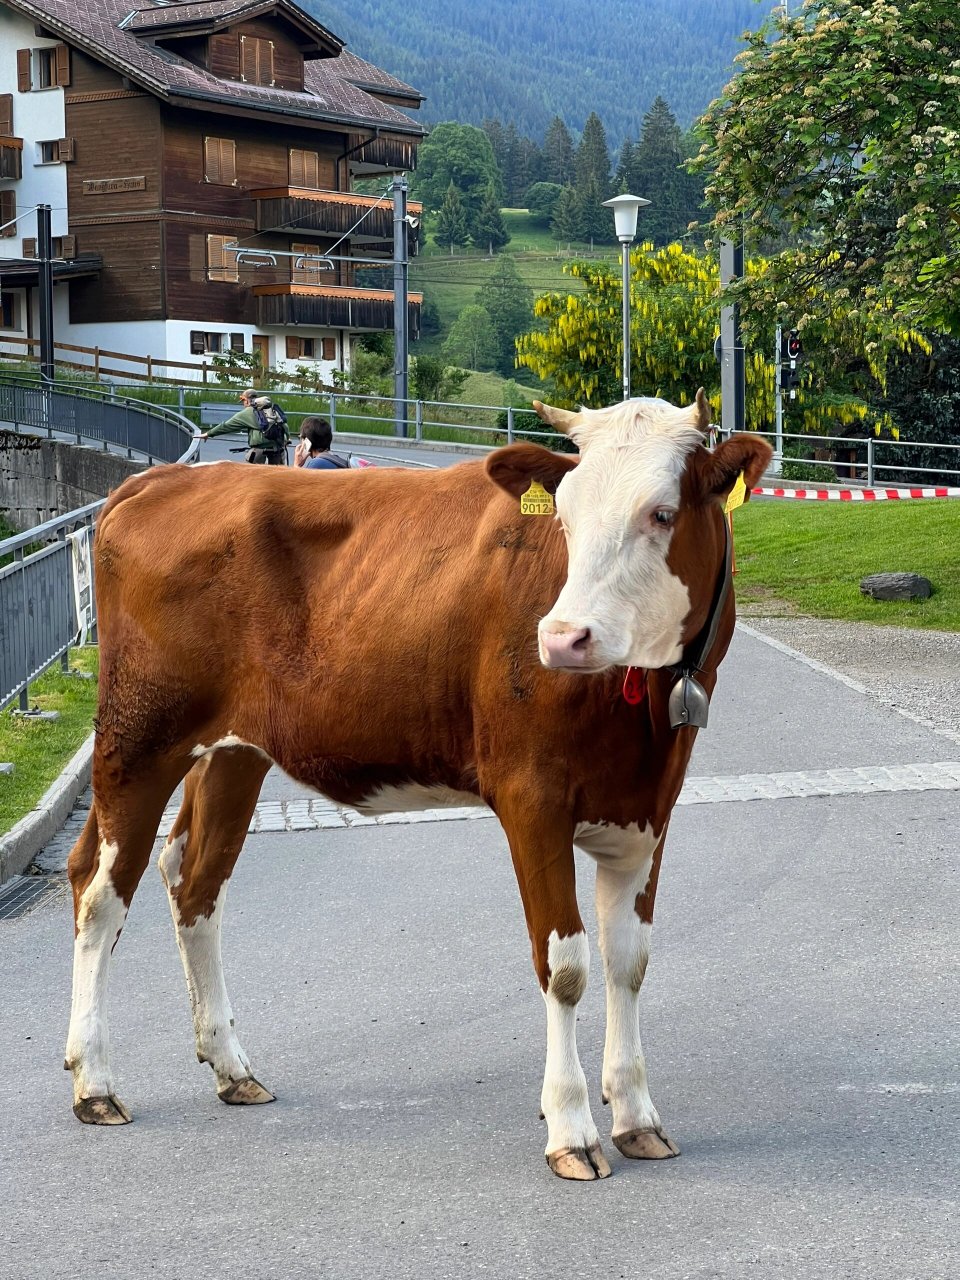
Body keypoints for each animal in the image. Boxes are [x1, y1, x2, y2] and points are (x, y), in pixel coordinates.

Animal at [65, 386, 773, 1177]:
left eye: (662, 513)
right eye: (563, 517)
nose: (562, 637)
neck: (641, 714)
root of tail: (160, 481)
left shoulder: (649, 808)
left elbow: (629, 962)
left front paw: (637, 1114)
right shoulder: (530, 796)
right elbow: (563, 965)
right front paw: (572, 1128)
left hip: (232, 752)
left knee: (195, 882)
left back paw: (230, 1067)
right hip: (139, 736)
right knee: (99, 889)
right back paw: (95, 1082)